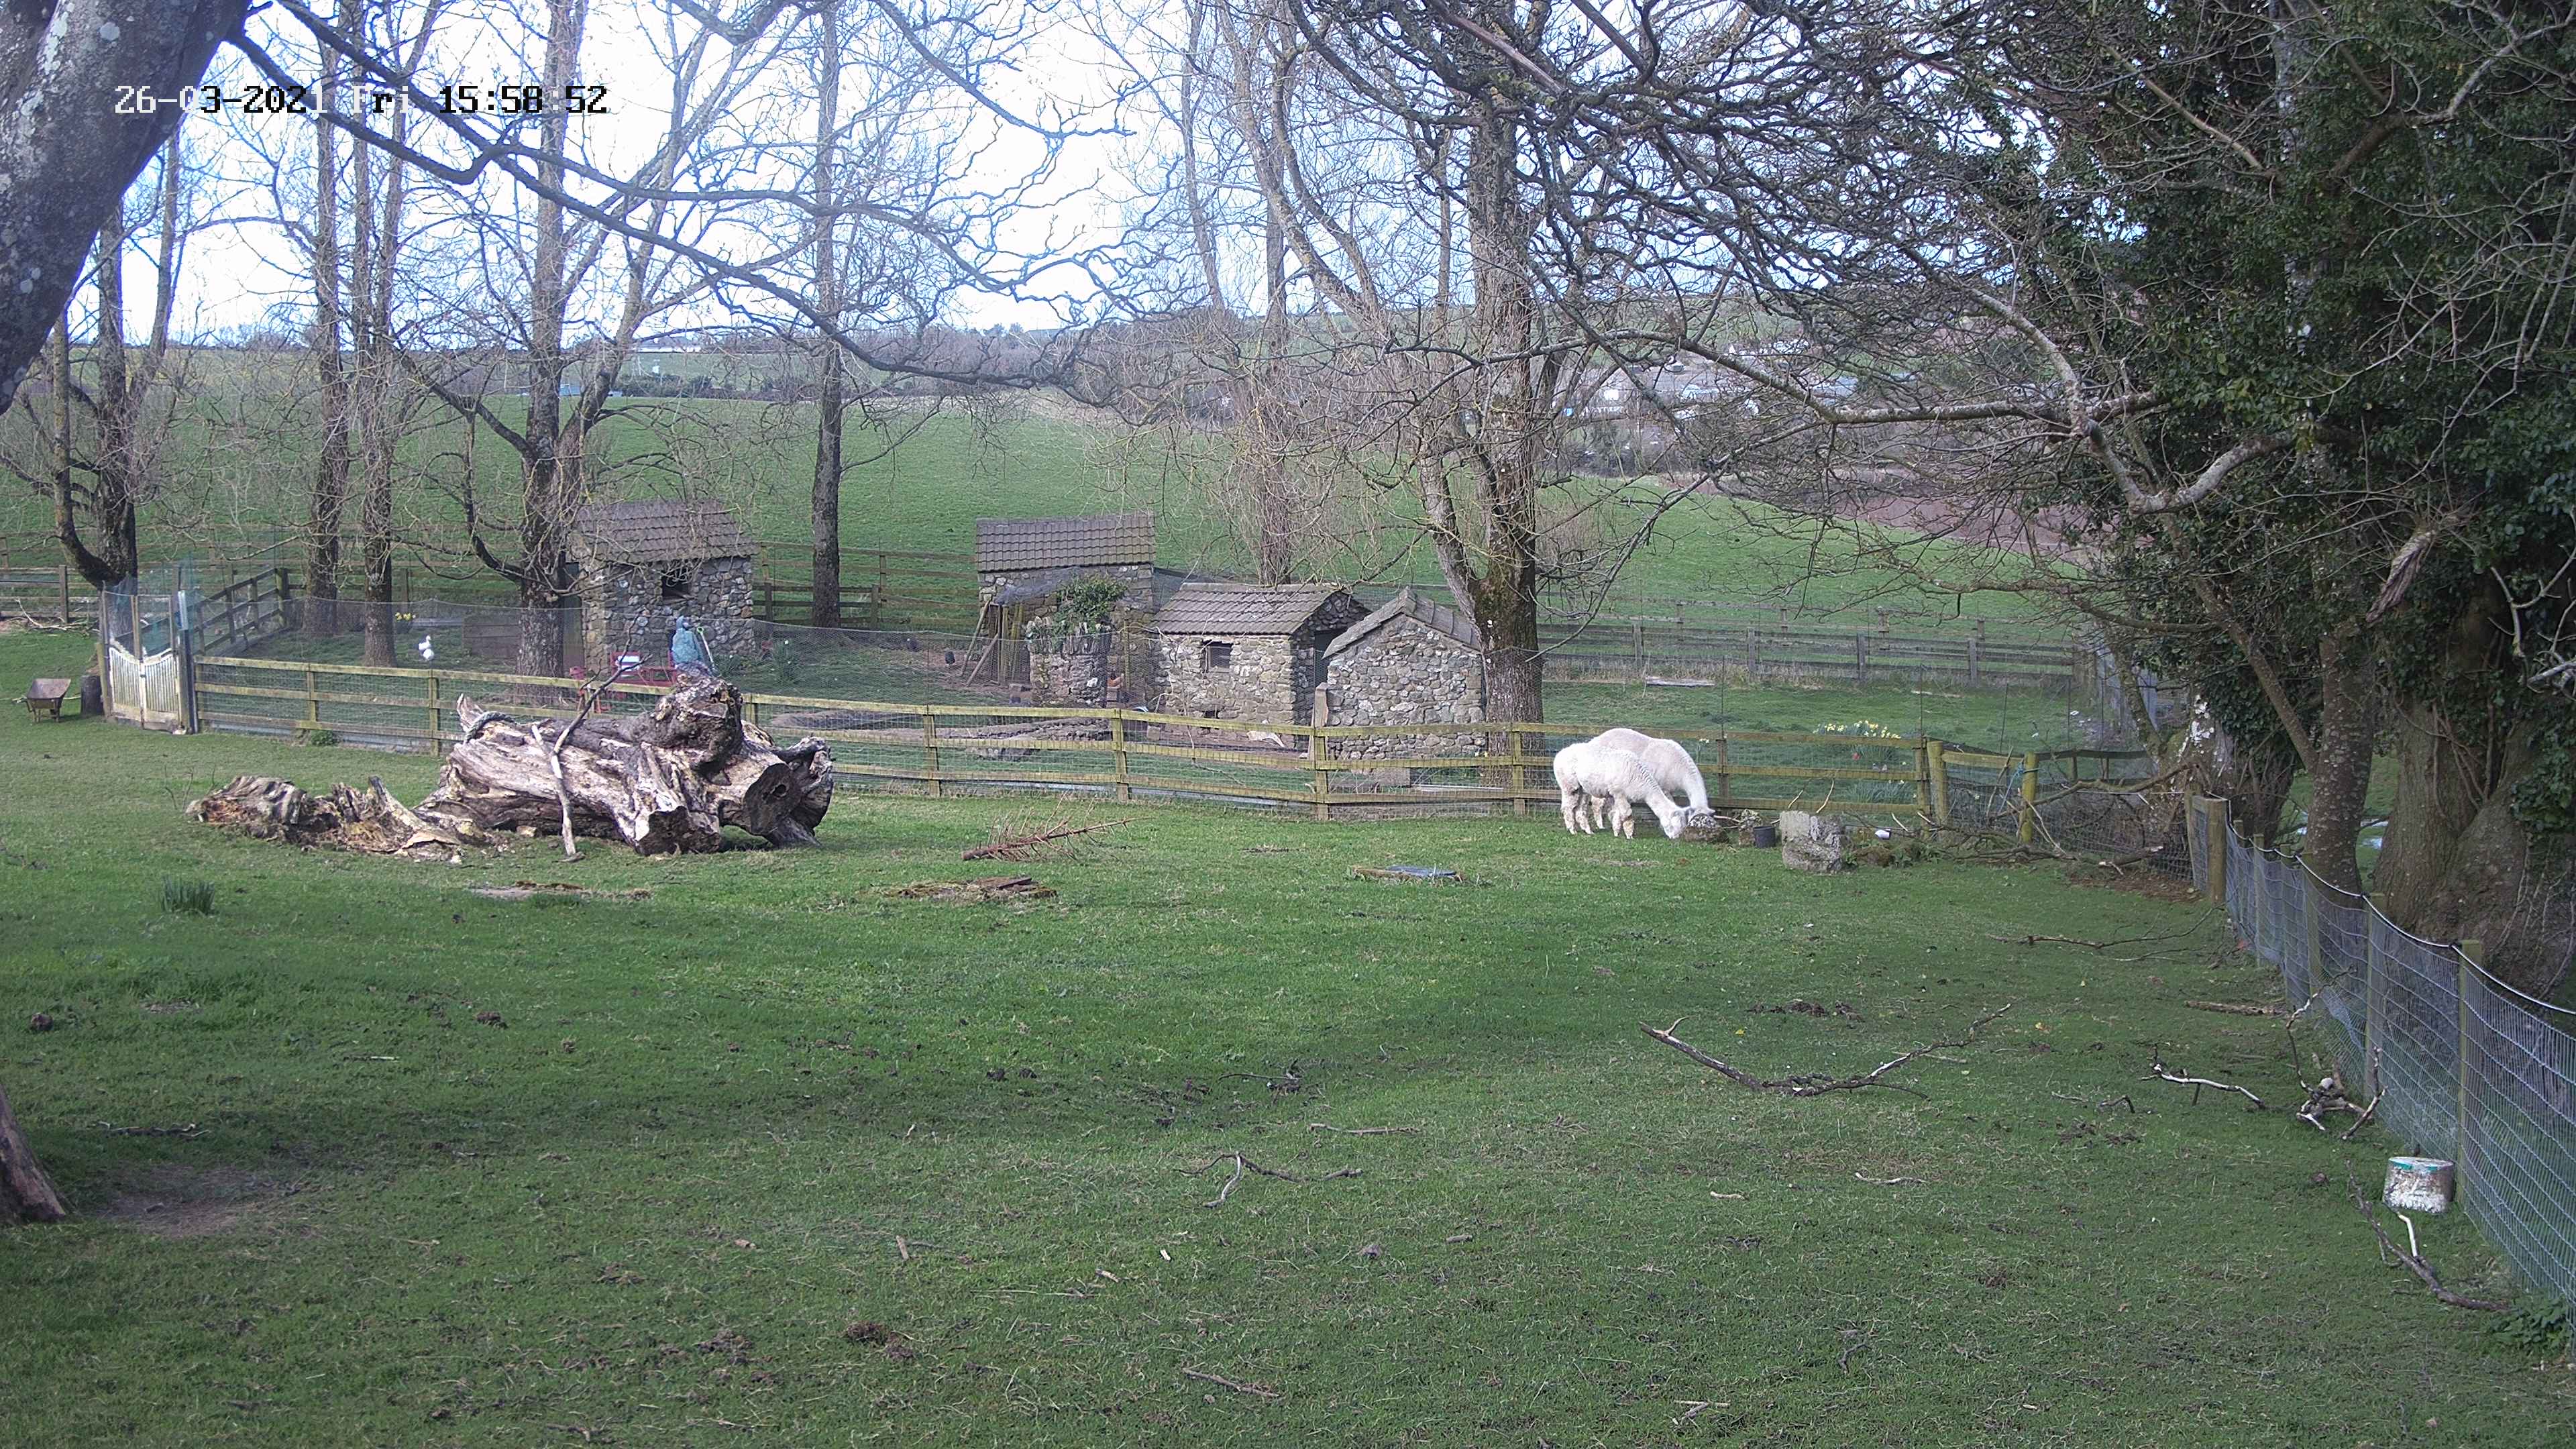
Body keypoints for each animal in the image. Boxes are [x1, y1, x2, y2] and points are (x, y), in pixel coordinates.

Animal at [1552, 741, 1691, 840]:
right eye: (1673, 826)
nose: (1675, 837)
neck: (1638, 778)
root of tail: (1559, 754)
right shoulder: (1619, 792)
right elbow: (1627, 814)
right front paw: (1629, 836)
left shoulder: (1622, 796)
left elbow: (1618, 814)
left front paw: (1616, 832)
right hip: (1570, 784)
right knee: (1567, 807)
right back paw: (1572, 830)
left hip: (1583, 788)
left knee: (1580, 809)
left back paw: (1588, 831)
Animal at [1586, 727, 1713, 831]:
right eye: (1694, 822)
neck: (1679, 768)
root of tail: (1594, 740)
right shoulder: (1663, 787)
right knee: (1597, 802)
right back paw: (1601, 825)